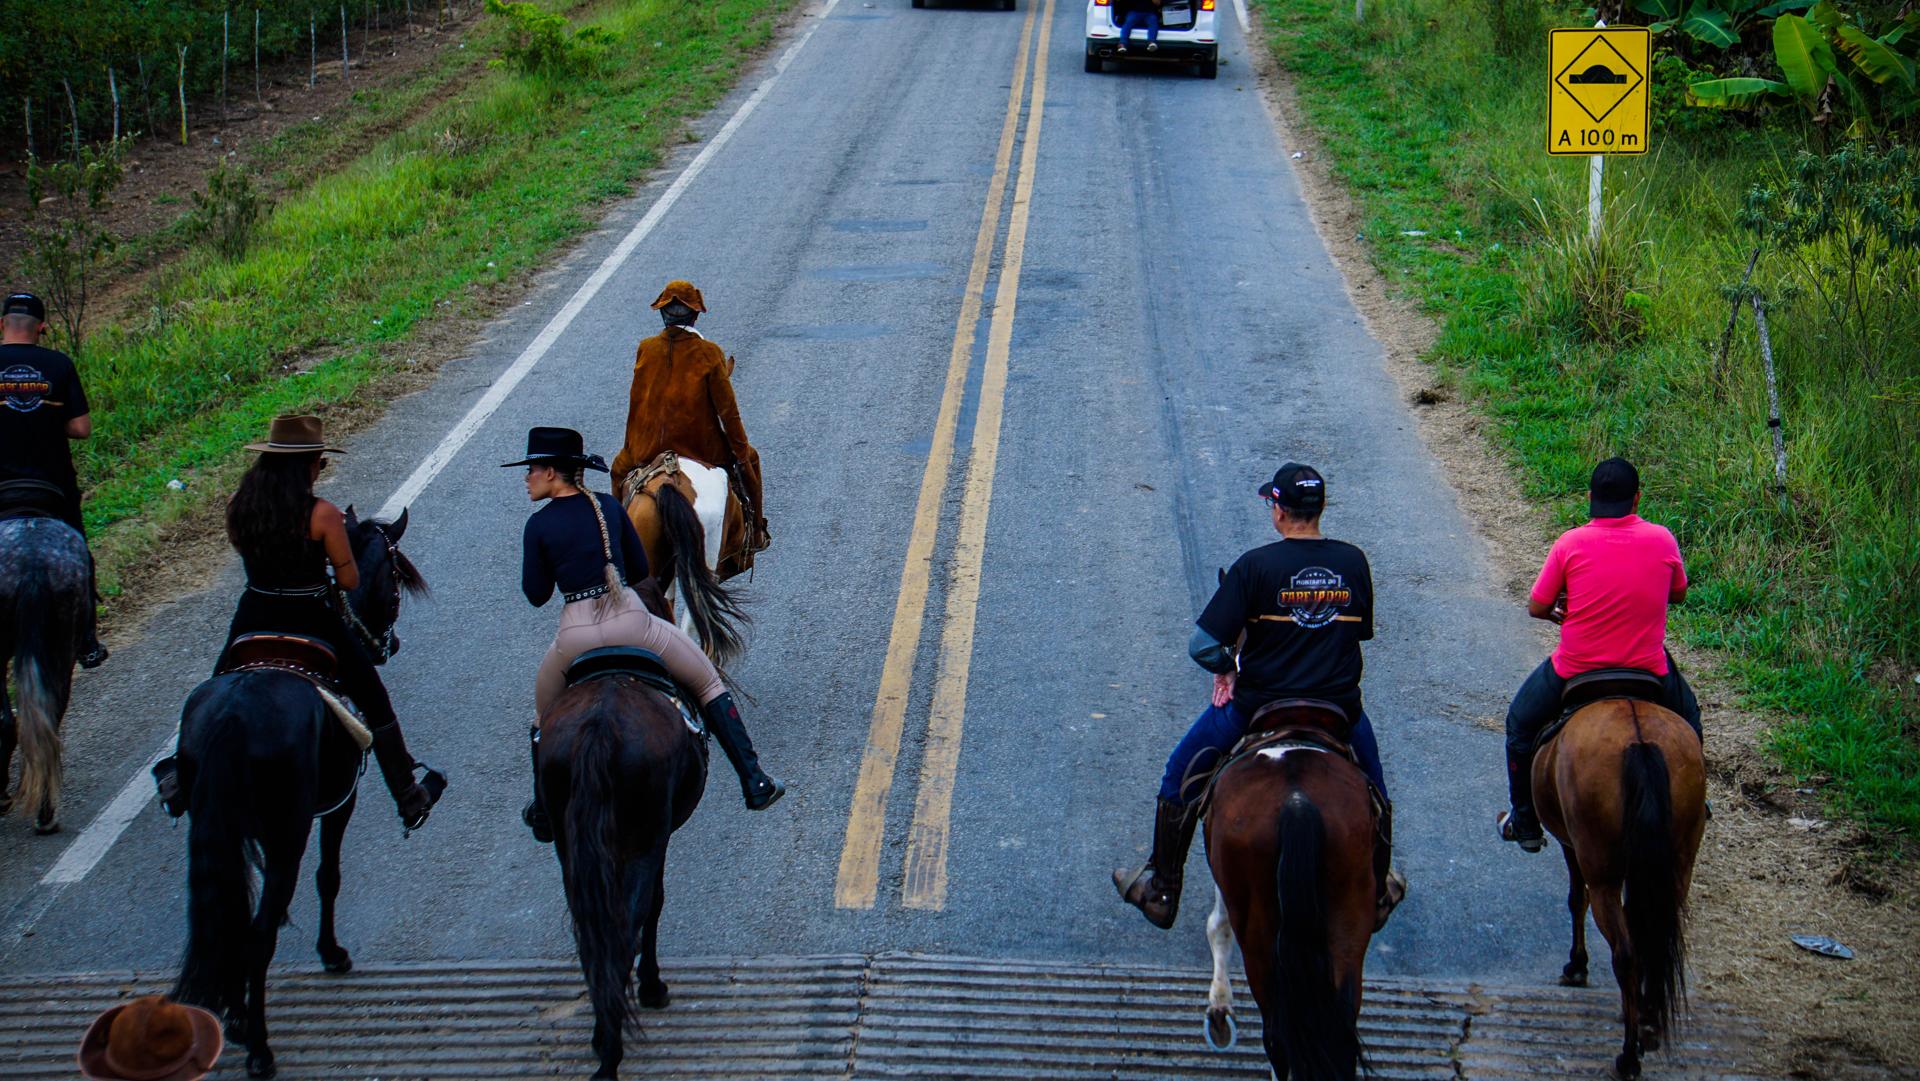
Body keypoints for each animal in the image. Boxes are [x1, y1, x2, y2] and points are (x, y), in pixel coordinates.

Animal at [171, 508, 426, 1080]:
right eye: (395, 579)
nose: (388, 645)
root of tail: (231, 720)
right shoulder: (339, 801)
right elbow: (328, 876)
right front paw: (331, 953)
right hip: (287, 833)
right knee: (259, 932)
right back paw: (260, 1049)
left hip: (219, 825)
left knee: (226, 920)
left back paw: (235, 1019)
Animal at [539, 647, 707, 1080]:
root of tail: (600, 726)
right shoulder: (659, 837)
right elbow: (655, 905)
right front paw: (652, 986)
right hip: (644, 838)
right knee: (627, 925)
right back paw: (613, 1048)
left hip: (570, 843)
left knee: (592, 934)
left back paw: (604, 1037)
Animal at [1200, 704, 1380, 1081]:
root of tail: (1297, 801)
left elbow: (1218, 926)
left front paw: (1220, 1010)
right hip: (1349, 912)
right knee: (1338, 1030)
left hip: (1259, 933)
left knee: (1277, 1034)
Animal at [1535, 684, 1706, 1081]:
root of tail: (1640, 744)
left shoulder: (1572, 845)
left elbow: (1575, 900)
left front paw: (1577, 965)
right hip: (1677, 861)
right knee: (1655, 933)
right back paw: (1648, 1022)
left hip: (1601, 868)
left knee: (1625, 952)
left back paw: (1628, 1055)